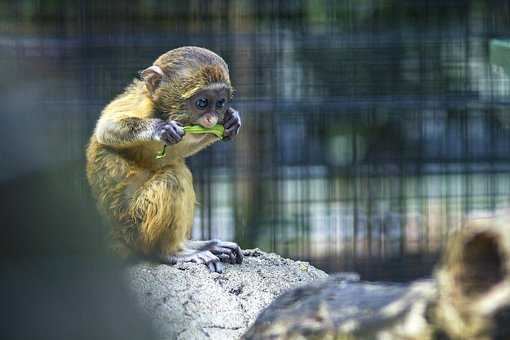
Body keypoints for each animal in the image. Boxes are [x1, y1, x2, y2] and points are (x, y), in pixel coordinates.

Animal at [87, 45, 243, 274]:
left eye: (220, 103)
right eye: (202, 103)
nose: (212, 119)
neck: (161, 111)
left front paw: (231, 121)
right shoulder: (140, 106)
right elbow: (106, 129)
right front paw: (160, 129)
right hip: (136, 228)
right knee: (174, 177)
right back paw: (171, 251)